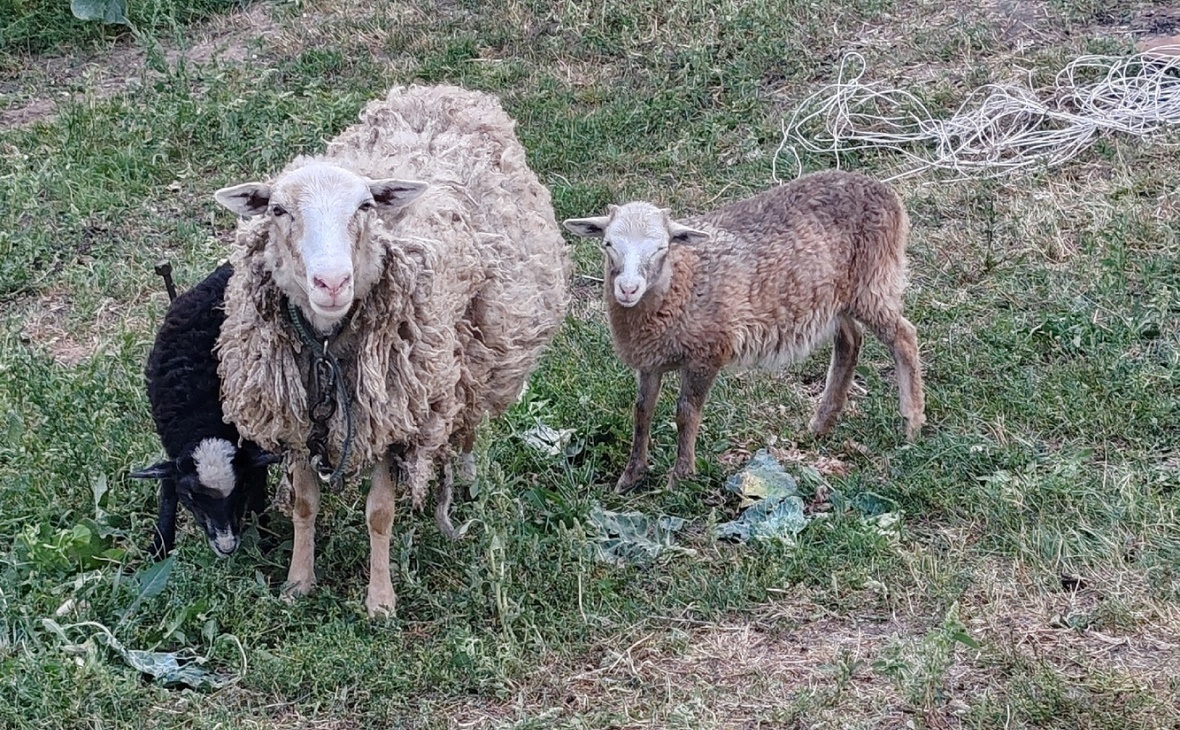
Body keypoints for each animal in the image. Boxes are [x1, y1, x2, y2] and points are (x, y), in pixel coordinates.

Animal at [132, 262, 279, 558]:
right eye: (192, 498)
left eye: (240, 489)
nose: (227, 547)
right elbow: (168, 485)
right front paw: (160, 547)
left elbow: (259, 486)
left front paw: (266, 539)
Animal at [217, 84, 575, 617]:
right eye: (278, 210)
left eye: (366, 207)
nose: (332, 282)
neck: (328, 344)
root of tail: (445, 89)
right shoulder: (296, 420)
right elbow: (304, 504)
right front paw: (298, 582)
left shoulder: (395, 422)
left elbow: (379, 514)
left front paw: (380, 600)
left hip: (482, 347)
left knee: (468, 422)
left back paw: (465, 479)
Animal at [561, 169, 920, 490]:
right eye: (608, 243)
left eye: (662, 248)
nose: (628, 288)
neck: (683, 281)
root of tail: (885, 191)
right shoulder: (650, 361)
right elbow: (641, 412)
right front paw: (630, 476)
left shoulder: (707, 352)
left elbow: (686, 413)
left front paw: (680, 478)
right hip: (837, 294)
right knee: (849, 341)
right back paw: (820, 424)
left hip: (873, 282)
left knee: (904, 338)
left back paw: (912, 422)